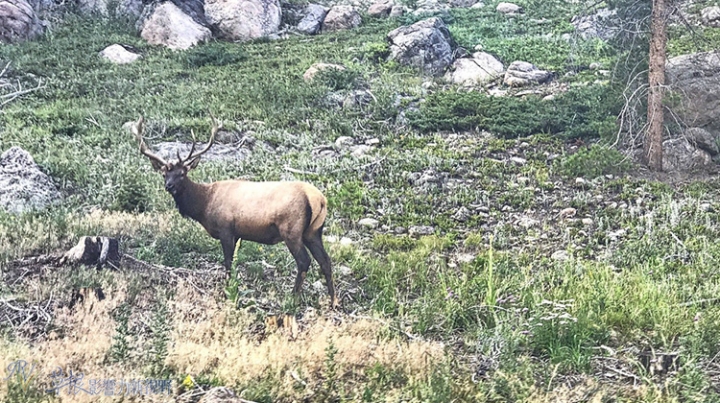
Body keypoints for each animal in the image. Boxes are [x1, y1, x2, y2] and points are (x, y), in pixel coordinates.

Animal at [131, 117, 338, 310]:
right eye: (164, 174)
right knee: (325, 261)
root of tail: (319, 199)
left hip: (291, 229)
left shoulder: (226, 229)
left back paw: (292, 299)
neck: (204, 205)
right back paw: (333, 301)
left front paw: (229, 293)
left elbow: (228, 264)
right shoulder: (238, 234)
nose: (169, 186)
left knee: (304, 261)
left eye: (182, 173)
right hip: (313, 232)